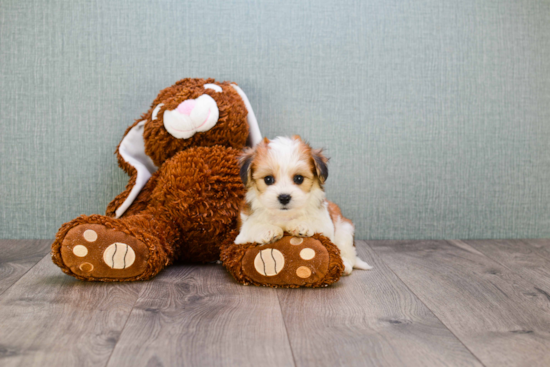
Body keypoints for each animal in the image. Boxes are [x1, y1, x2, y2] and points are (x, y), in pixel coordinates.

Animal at [235, 137, 374, 274]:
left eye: (299, 178)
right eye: (268, 179)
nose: (284, 197)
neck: (285, 215)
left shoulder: (326, 225)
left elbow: (316, 223)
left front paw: (301, 224)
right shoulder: (241, 234)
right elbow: (252, 227)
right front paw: (268, 230)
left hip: (345, 228)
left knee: (347, 251)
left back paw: (345, 264)